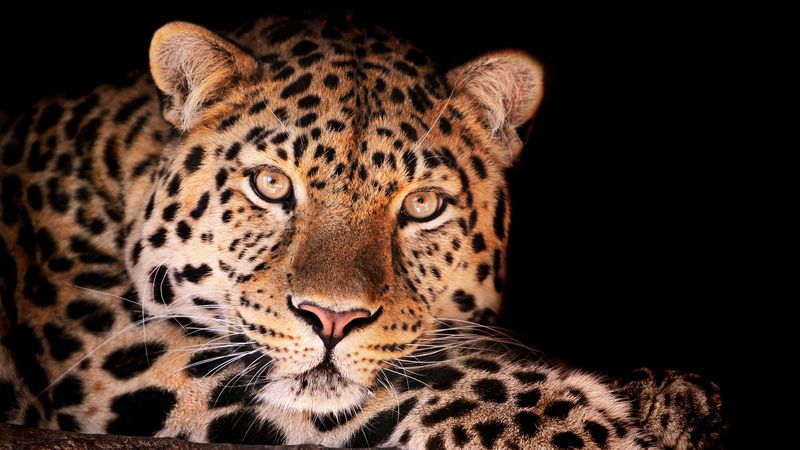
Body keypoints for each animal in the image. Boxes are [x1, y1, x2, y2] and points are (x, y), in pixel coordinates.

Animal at [0, 13, 724, 449]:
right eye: (271, 185)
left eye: (422, 204)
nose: (331, 318)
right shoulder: (105, 349)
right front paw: (558, 424)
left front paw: (674, 399)